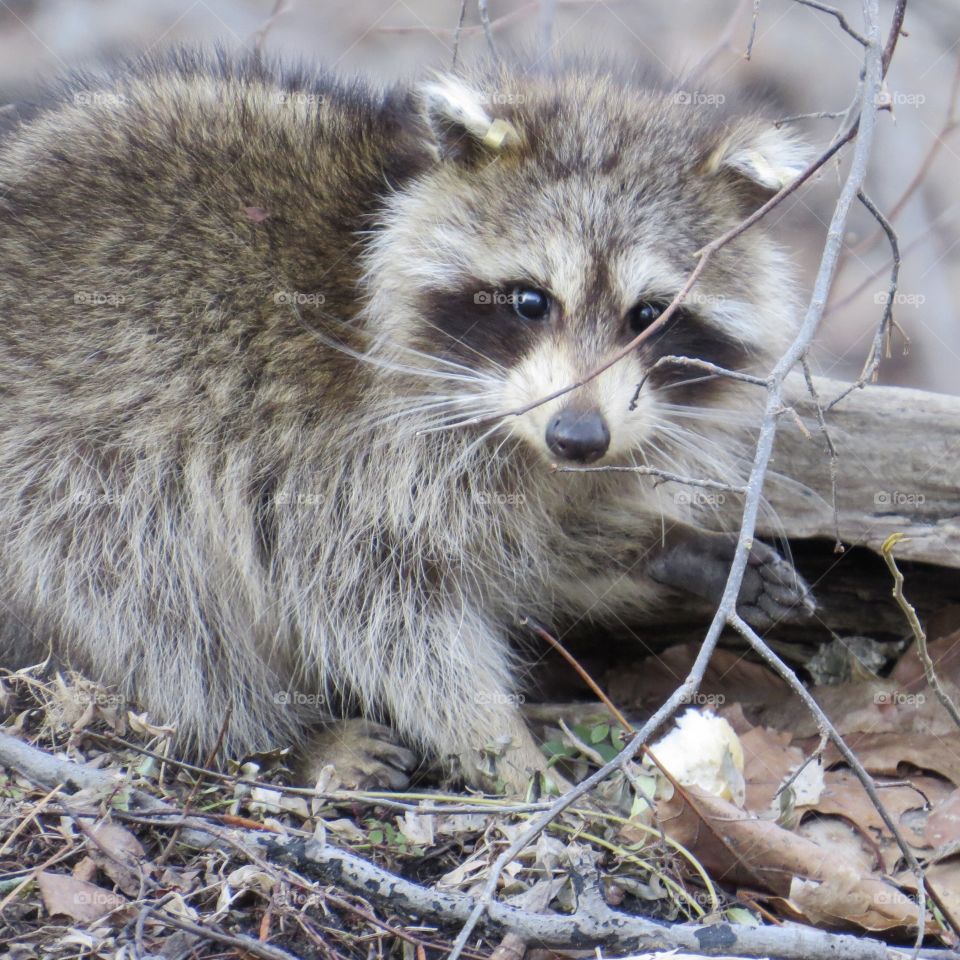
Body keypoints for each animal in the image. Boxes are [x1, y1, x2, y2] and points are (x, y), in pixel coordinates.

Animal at [0, 48, 812, 792]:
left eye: (650, 315)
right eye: (530, 301)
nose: (578, 438)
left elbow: (531, 548)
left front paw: (659, 549)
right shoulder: (332, 450)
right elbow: (380, 609)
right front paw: (501, 746)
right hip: (65, 460)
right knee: (140, 597)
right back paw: (274, 736)